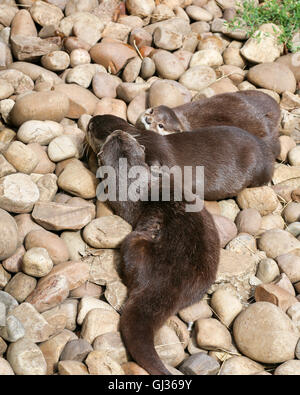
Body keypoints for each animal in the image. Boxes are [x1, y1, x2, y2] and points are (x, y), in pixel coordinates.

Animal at [98, 131, 220, 378]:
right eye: (120, 138)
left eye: (109, 139)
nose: (117, 132)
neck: (138, 184)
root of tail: (169, 285)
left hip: (134, 241)